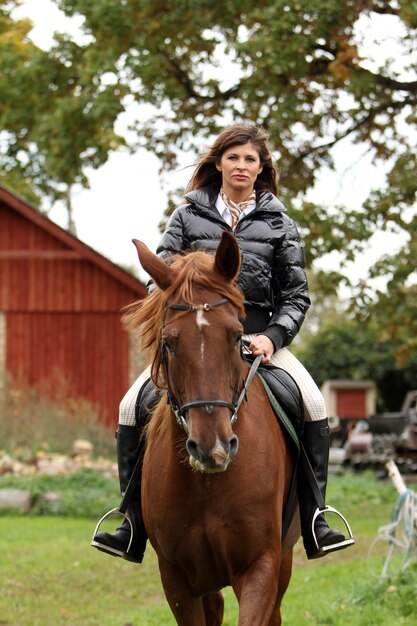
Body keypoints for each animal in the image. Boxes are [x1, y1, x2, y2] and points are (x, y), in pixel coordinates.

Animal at [127, 232, 300, 620]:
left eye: (237, 337)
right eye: (168, 342)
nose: (213, 449)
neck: (206, 485)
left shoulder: (260, 566)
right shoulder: (176, 579)